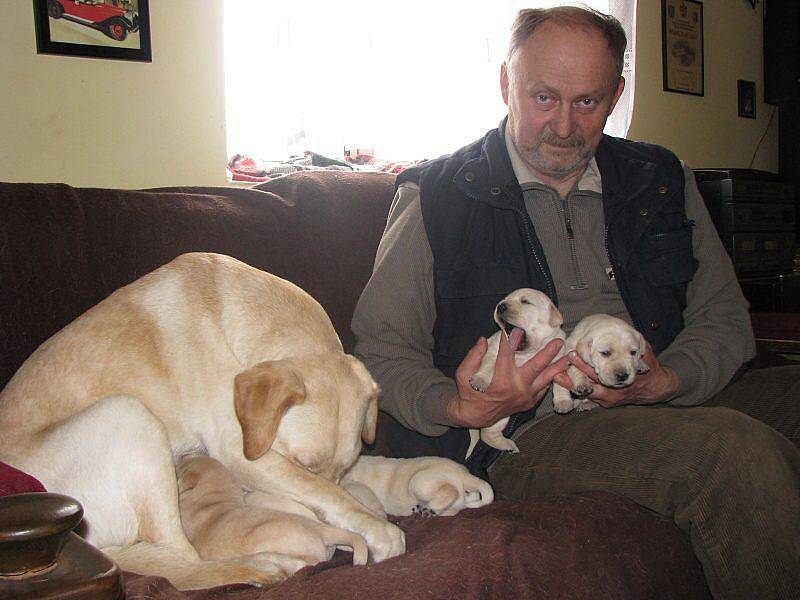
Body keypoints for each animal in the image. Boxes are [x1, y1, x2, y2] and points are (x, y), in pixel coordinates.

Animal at [466, 290, 564, 454]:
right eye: (504, 300)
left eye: (525, 301)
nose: (500, 306)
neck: (526, 353)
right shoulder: (493, 350)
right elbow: (487, 367)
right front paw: (480, 382)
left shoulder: (560, 358)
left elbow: (562, 380)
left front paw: (563, 402)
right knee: (486, 434)